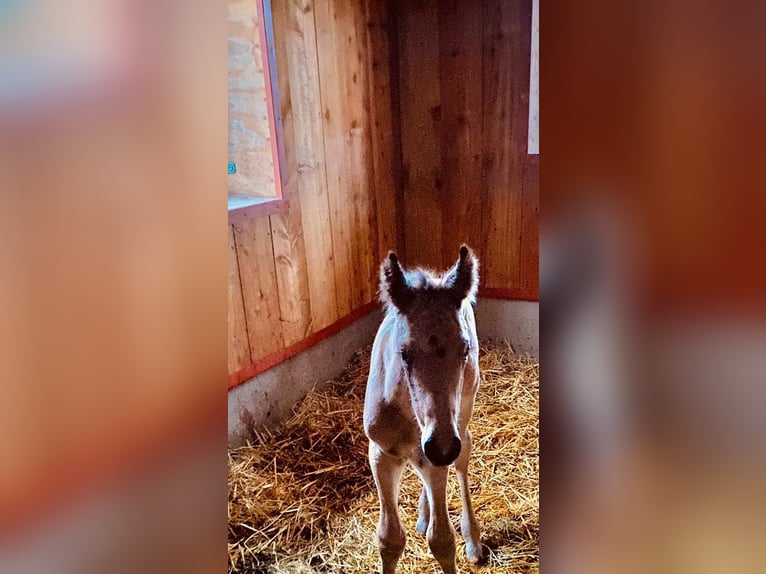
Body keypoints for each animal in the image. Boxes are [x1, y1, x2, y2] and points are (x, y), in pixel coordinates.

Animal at [366, 248, 486, 574]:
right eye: (404, 353)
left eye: (464, 349)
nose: (442, 447)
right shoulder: (380, 454)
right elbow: (389, 539)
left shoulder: (440, 450)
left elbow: (442, 540)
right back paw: (423, 514)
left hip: (463, 415)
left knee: (463, 455)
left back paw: (472, 540)